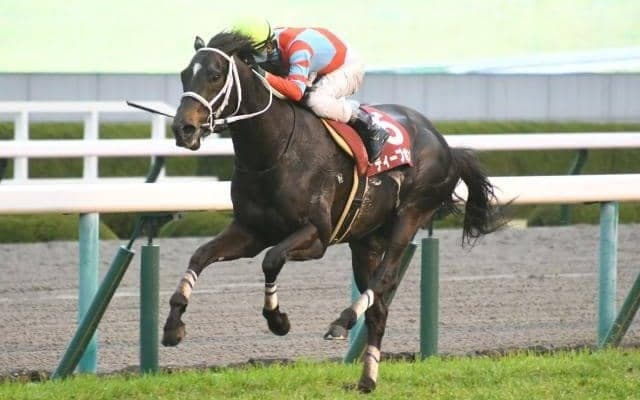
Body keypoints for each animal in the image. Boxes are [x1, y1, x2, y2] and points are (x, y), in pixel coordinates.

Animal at [163, 31, 500, 392]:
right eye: (184, 74)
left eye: (214, 75)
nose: (183, 129)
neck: (274, 151)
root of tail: (446, 145)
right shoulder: (250, 231)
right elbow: (200, 255)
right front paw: (173, 326)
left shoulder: (316, 236)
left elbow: (272, 259)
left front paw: (278, 320)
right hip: (365, 240)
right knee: (378, 309)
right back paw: (367, 379)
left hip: (410, 215)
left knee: (384, 278)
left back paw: (342, 321)